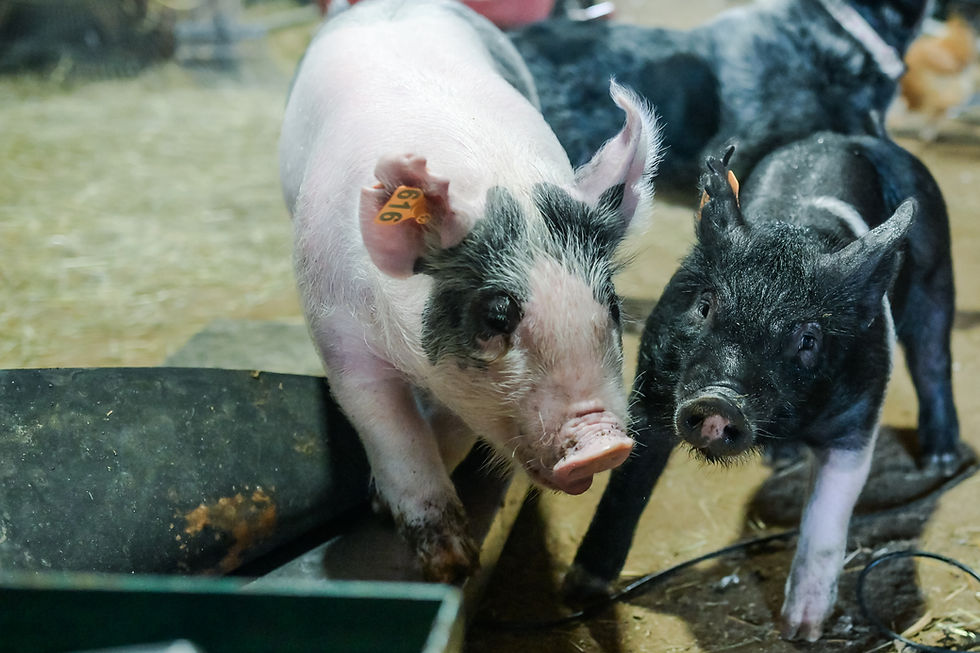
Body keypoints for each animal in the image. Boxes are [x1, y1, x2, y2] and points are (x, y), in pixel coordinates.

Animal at [278, 0, 661, 583]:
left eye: (612, 308)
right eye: (496, 316)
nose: (603, 444)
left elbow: (453, 427)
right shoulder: (336, 329)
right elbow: (392, 431)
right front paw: (447, 563)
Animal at [564, 132, 959, 641]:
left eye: (808, 339)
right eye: (706, 306)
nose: (720, 400)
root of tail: (853, 136)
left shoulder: (857, 417)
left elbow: (826, 519)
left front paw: (801, 632)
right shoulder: (654, 384)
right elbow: (626, 490)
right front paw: (577, 592)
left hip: (937, 269)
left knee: (934, 360)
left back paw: (942, 460)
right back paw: (782, 459)